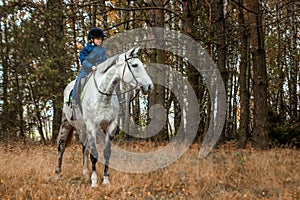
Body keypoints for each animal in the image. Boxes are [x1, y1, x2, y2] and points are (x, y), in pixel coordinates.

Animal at [54, 47, 152, 187]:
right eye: (134, 65)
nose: (149, 86)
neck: (103, 96)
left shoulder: (110, 127)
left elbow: (106, 152)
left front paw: (105, 180)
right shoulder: (92, 127)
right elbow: (94, 154)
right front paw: (94, 181)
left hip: (82, 128)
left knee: (84, 149)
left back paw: (85, 174)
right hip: (66, 124)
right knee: (61, 147)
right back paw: (58, 174)